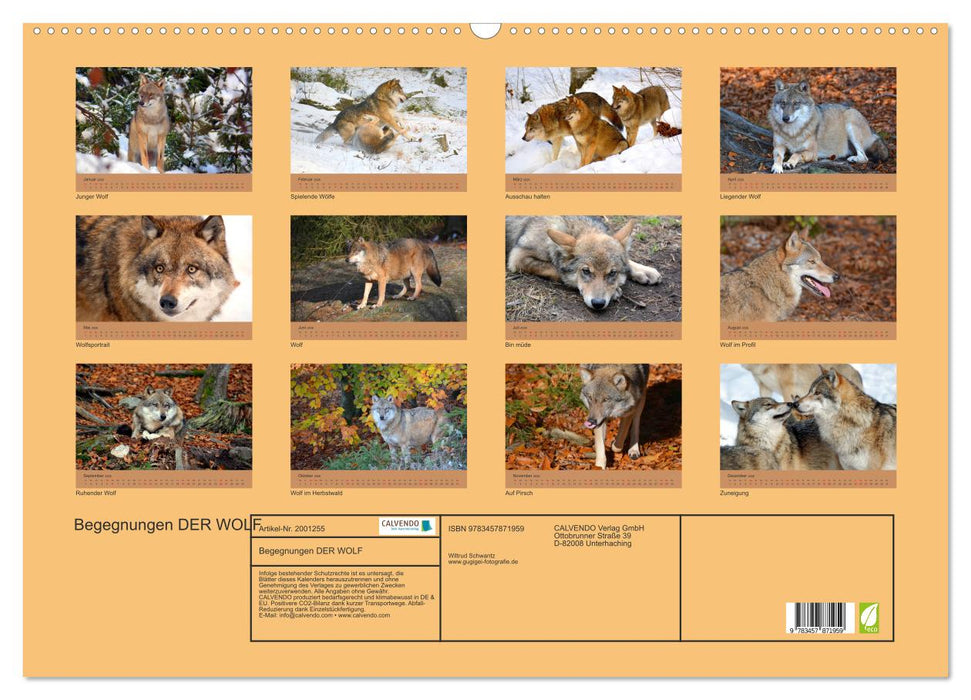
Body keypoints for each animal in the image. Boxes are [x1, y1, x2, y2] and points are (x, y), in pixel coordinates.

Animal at [506, 216, 661, 311]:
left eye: (612, 273)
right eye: (586, 271)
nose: (598, 304)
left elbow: (628, 261)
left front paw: (644, 270)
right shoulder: (518, 257)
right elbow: (557, 270)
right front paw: (616, 290)